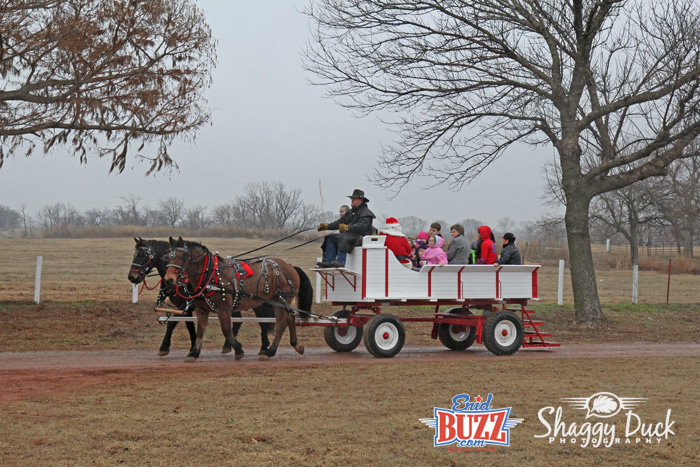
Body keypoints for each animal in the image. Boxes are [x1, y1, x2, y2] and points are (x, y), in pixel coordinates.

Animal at [163, 238, 310, 362]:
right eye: (168, 257)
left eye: (181, 257)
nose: (169, 279)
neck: (210, 275)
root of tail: (290, 266)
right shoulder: (202, 310)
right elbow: (200, 331)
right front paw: (194, 353)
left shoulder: (224, 309)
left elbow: (226, 330)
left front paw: (238, 350)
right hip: (278, 301)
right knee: (290, 318)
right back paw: (296, 345)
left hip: (280, 301)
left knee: (281, 323)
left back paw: (270, 352)